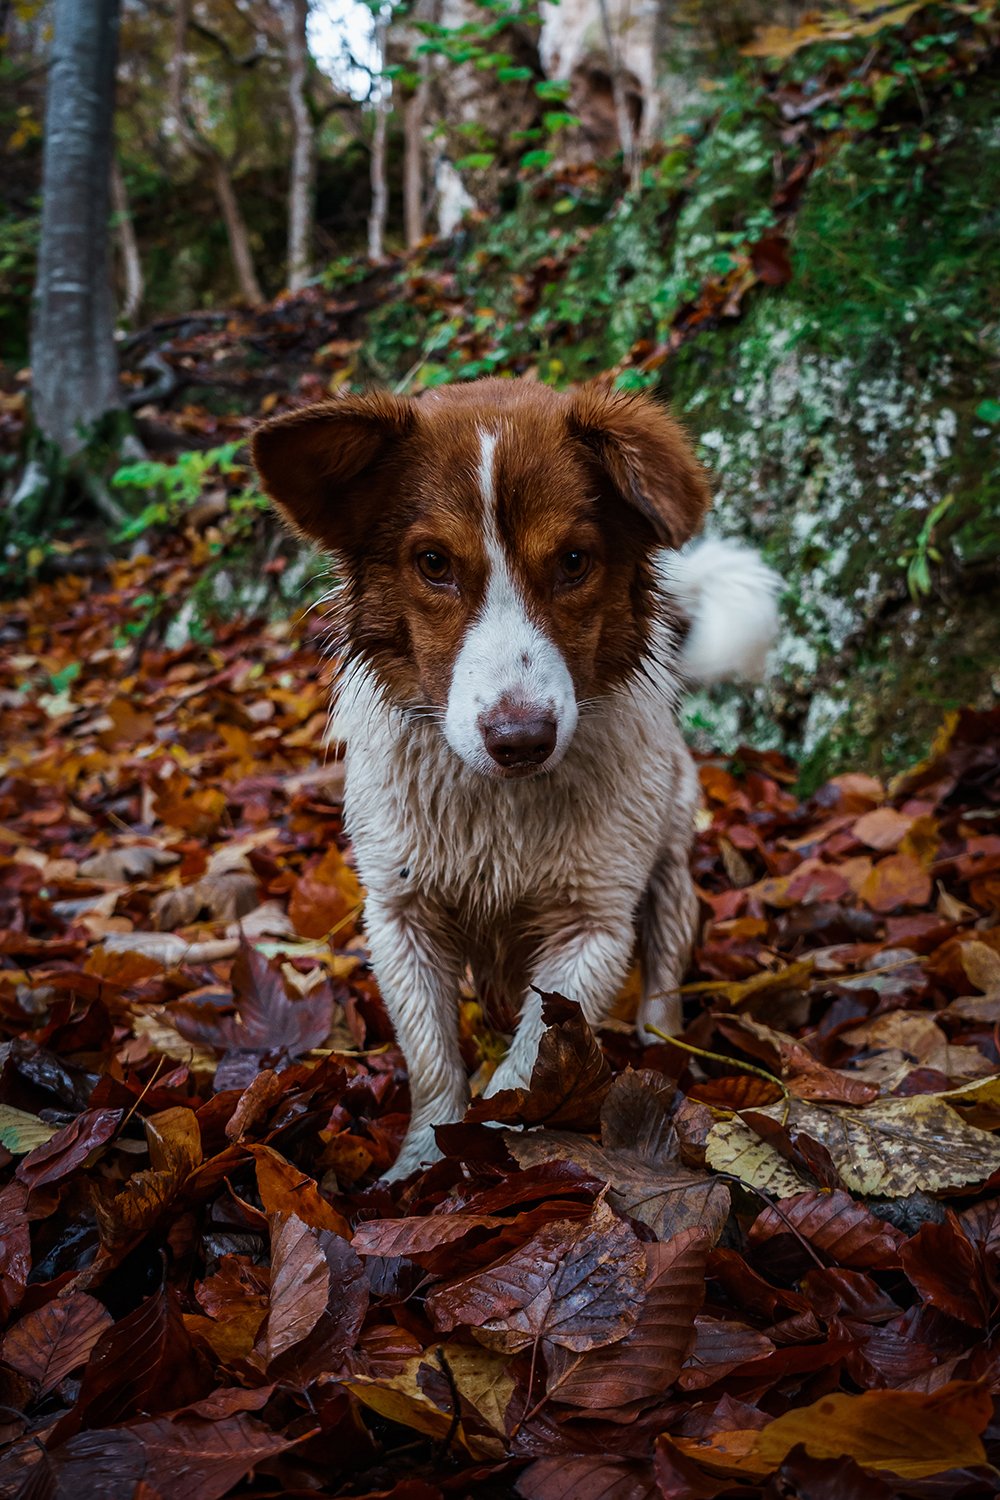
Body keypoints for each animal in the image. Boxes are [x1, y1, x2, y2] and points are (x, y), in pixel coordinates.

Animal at [251, 381, 779, 1176]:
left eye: (573, 560)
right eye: (433, 562)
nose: (521, 740)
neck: (501, 808)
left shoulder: (591, 929)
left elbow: (523, 1070)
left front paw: (486, 1156)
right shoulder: (401, 918)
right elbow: (435, 1062)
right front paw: (423, 1162)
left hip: (669, 868)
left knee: (663, 969)